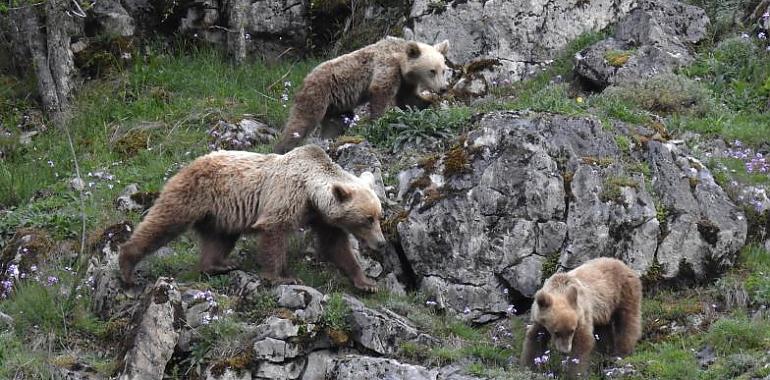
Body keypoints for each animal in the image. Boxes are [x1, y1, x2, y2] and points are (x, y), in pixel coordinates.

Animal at [118, 145, 388, 290]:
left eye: (379, 216)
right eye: (367, 219)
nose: (382, 243)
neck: (311, 192)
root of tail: (190, 163)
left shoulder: (321, 217)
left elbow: (336, 245)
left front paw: (366, 282)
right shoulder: (286, 196)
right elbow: (274, 232)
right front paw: (282, 276)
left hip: (221, 214)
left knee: (220, 238)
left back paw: (218, 265)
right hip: (193, 195)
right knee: (163, 223)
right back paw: (128, 267)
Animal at [272, 36, 448, 153]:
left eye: (443, 70)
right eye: (432, 71)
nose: (443, 88)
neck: (400, 61)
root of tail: (305, 79)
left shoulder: (405, 83)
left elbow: (409, 99)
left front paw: (432, 103)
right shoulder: (387, 67)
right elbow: (381, 93)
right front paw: (378, 121)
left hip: (337, 106)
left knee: (336, 124)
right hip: (317, 94)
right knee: (301, 123)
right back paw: (282, 148)